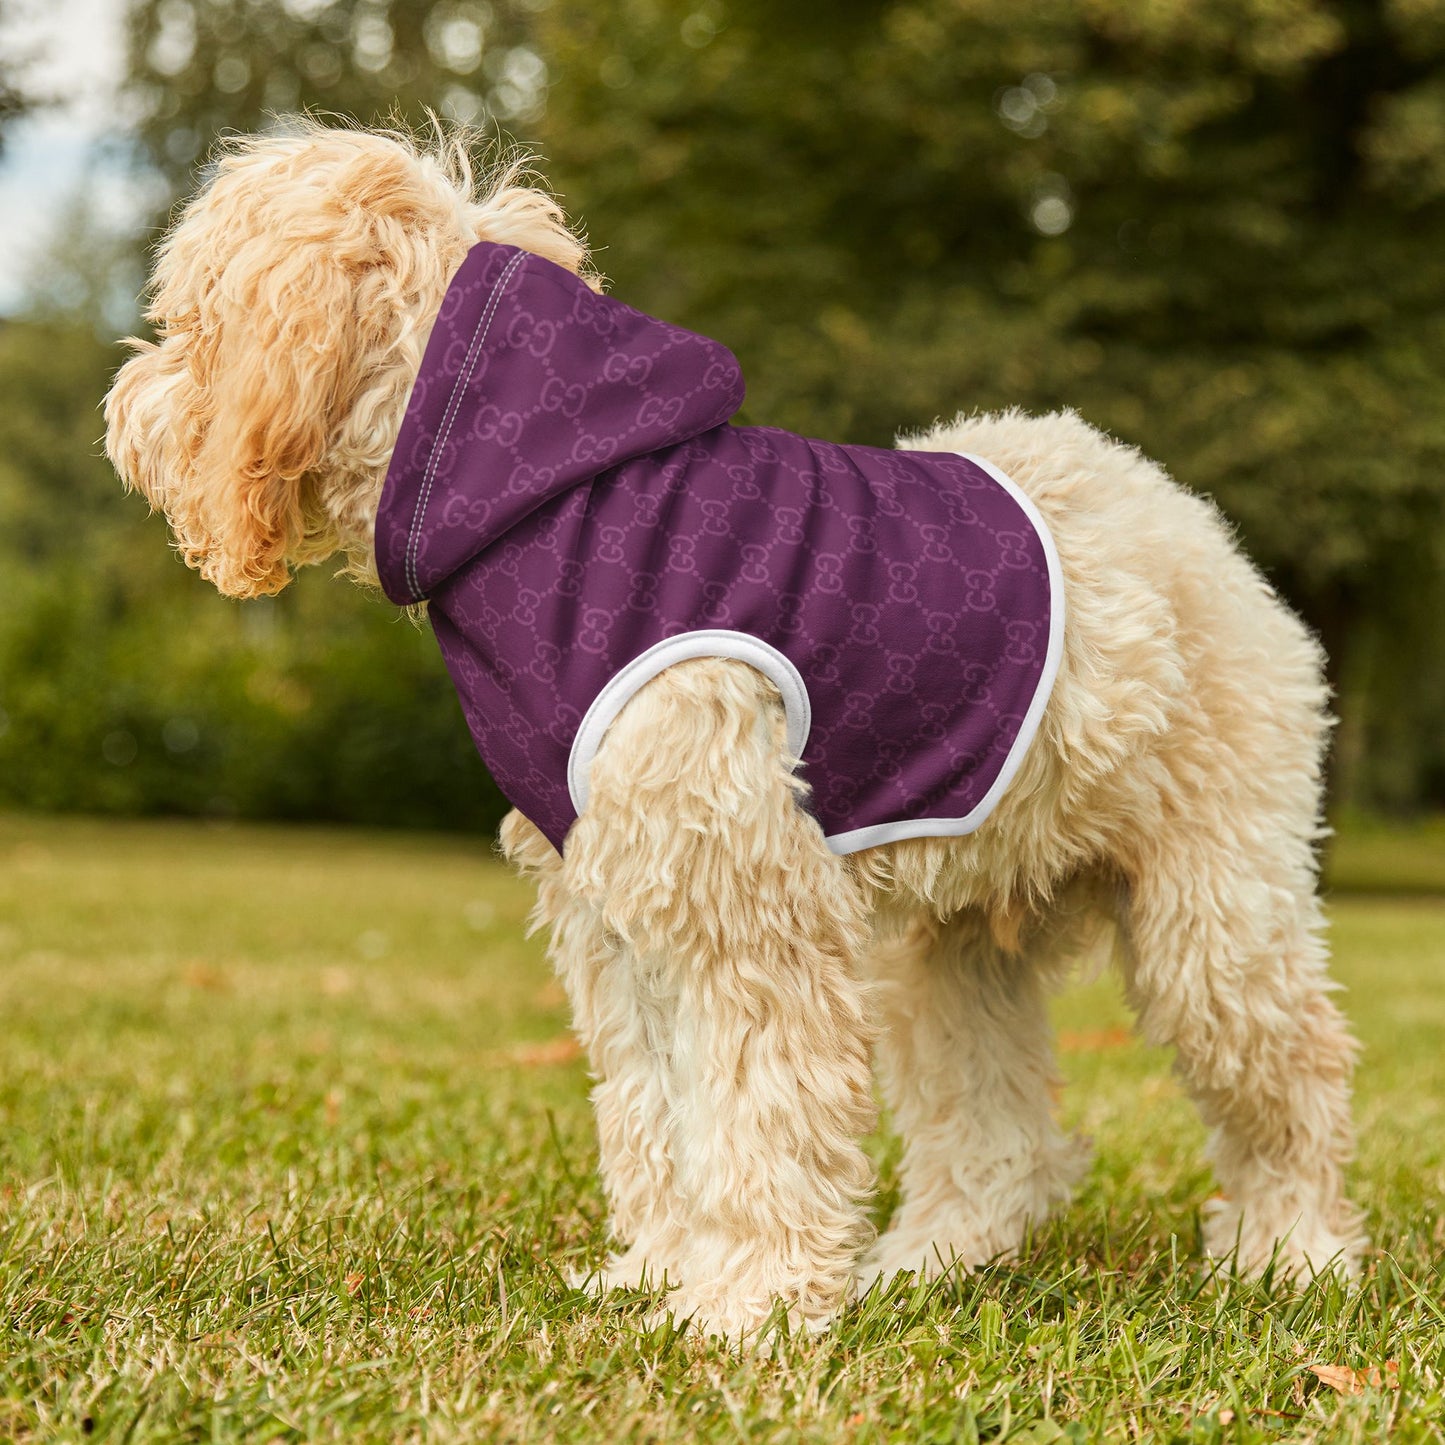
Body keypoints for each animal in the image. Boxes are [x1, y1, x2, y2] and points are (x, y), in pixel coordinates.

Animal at [104, 124, 1364, 1340]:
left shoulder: (742, 903)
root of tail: (1186, 518)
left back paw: (1290, 1252)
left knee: (1293, 1076)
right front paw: (662, 1273)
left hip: (1212, 915)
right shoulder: (619, 910)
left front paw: (747, 1305)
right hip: (950, 948)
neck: (544, 499)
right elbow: (656, 1110)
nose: (123, 408)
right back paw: (929, 1260)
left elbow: (758, 1112)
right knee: (995, 1133)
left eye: (189, 319)